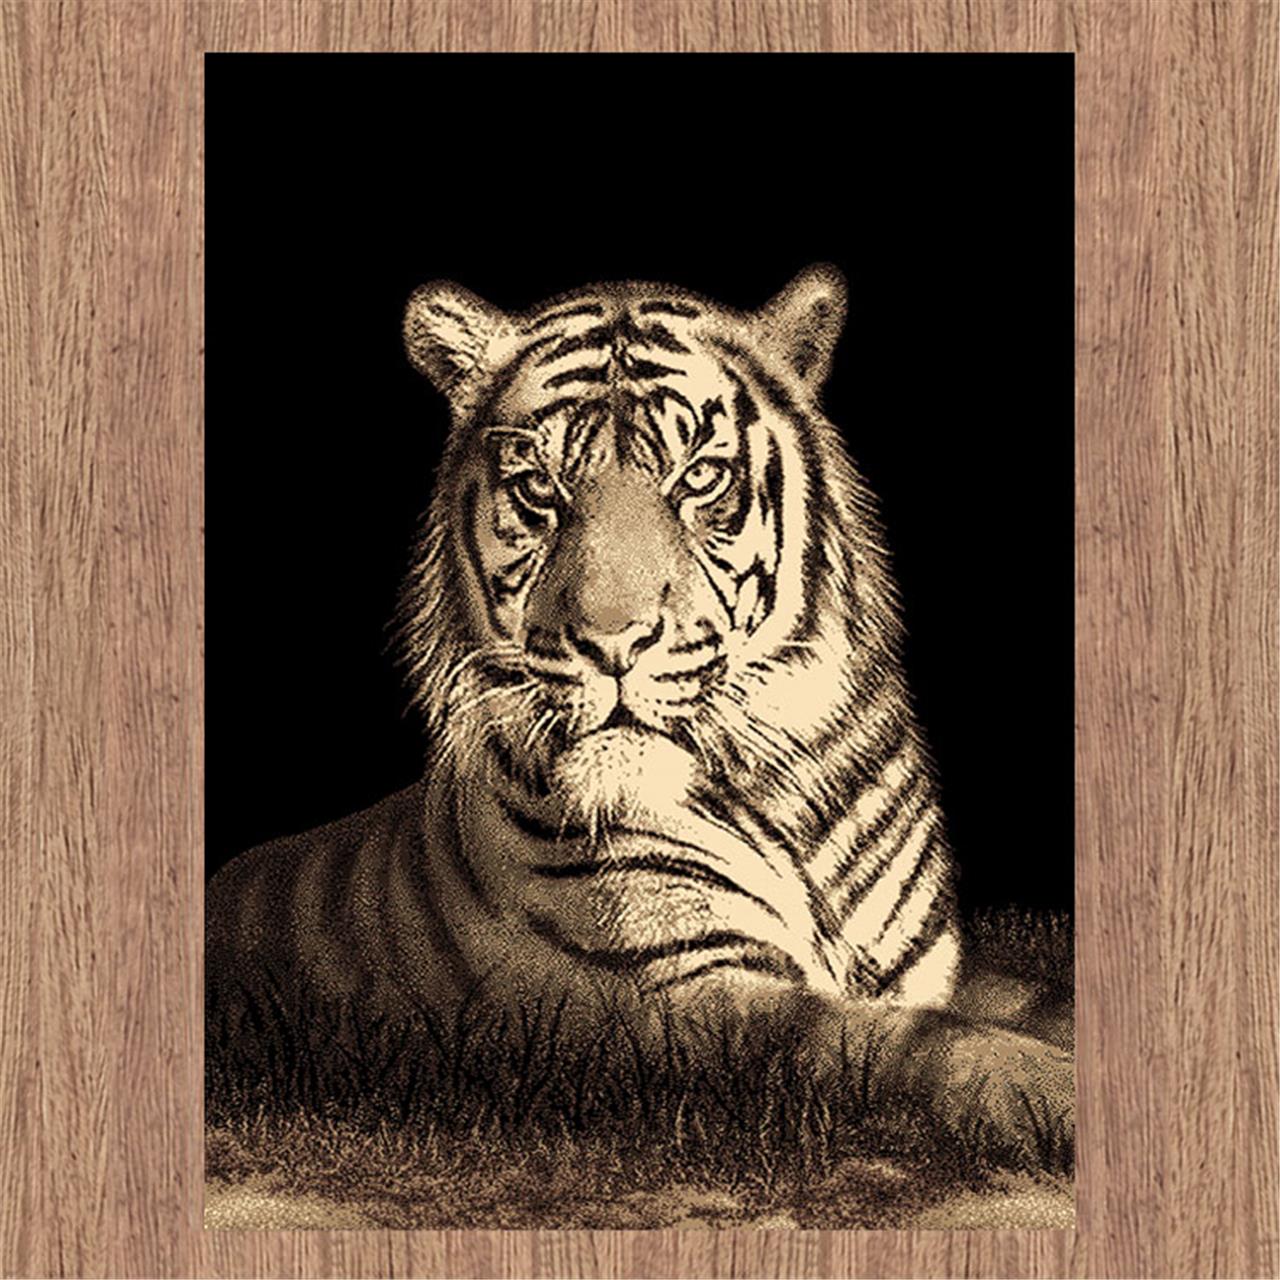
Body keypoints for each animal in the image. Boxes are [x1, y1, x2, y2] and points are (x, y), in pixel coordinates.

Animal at [206, 266, 1073, 1161]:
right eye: (539, 490)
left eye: (697, 478)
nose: (611, 644)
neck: (786, 797)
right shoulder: (682, 996)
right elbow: (916, 1043)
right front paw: (1065, 1094)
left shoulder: (936, 967)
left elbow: (1041, 1001)